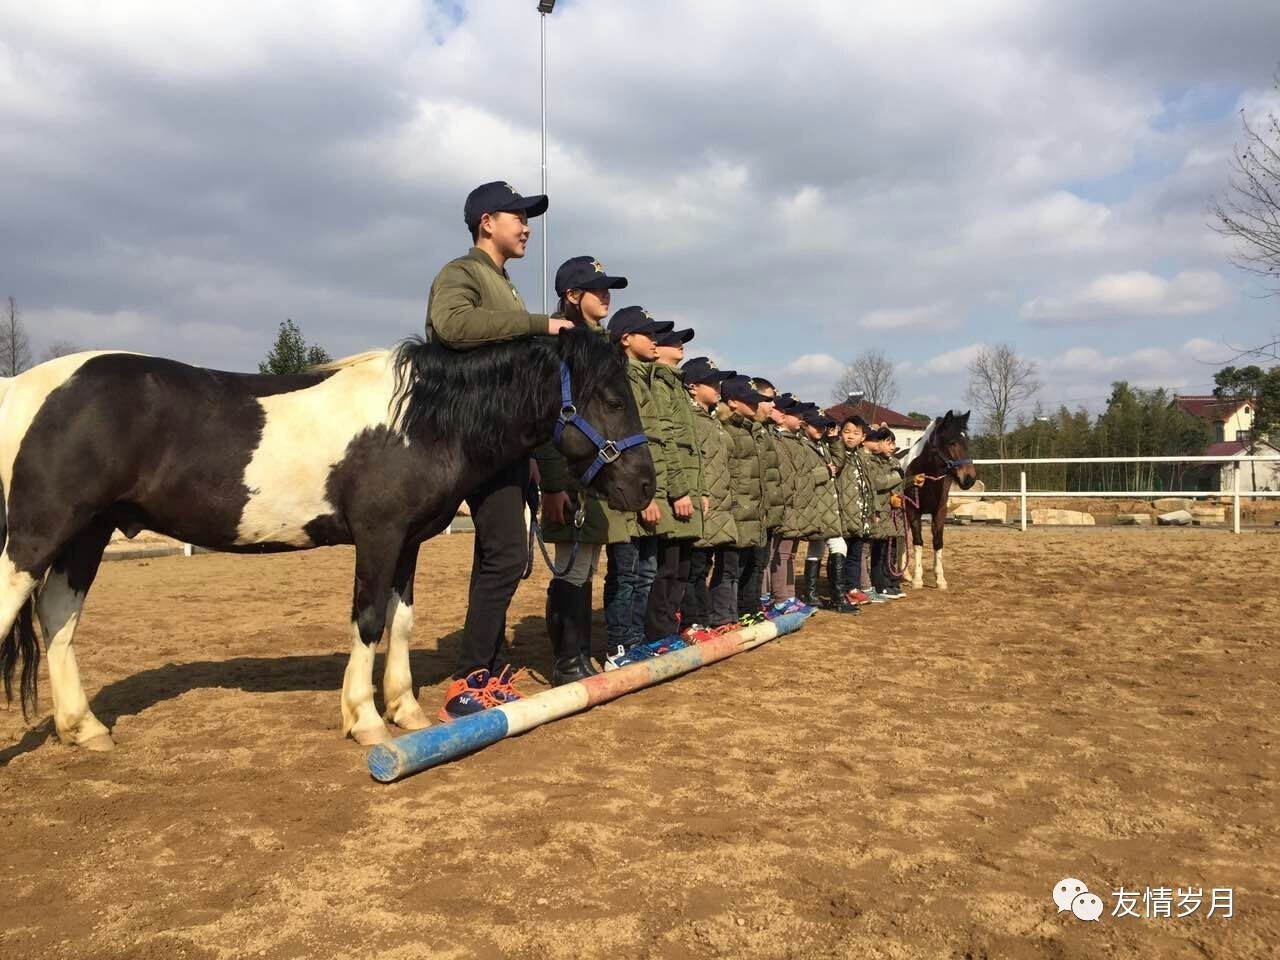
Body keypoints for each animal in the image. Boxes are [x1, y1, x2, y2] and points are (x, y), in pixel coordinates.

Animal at [0, 330, 655, 752]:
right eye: (613, 398)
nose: (645, 485)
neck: (416, 422)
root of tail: (22, 389)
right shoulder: (378, 535)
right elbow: (366, 620)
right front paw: (365, 719)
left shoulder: (409, 541)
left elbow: (400, 621)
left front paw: (407, 710)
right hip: (39, 534)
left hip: (89, 532)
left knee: (58, 617)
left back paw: (84, 728)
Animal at [901, 409, 977, 591]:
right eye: (951, 442)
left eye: (967, 441)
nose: (969, 478)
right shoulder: (913, 510)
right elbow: (918, 541)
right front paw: (917, 580)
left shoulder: (940, 511)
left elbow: (938, 542)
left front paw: (940, 579)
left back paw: (904, 574)